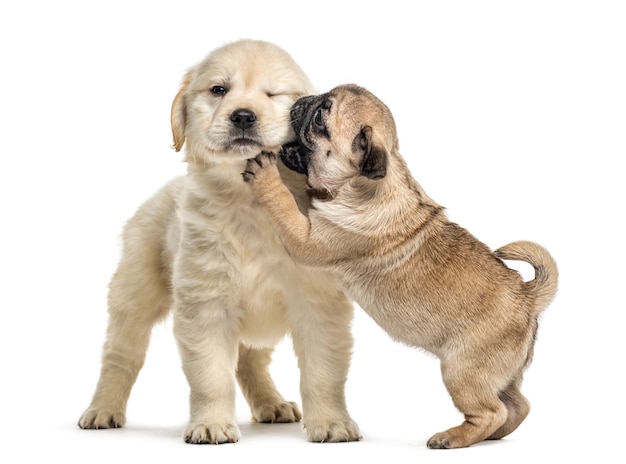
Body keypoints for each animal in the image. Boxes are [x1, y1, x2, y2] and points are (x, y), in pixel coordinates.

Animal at [78, 40, 360, 446]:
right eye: (218, 90)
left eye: (272, 94)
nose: (242, 116)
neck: (251, 204)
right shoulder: (205, 306)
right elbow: (211, 375)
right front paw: (211, 424)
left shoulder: (319, 304)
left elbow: (323, 372)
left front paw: (332, 422)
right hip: (134, 294)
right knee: (120, 356)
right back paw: (102, 409)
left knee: (249, 360)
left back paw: (272, 404)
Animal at [241, 84, 560, 450]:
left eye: (321, 116)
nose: (302, 100)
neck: (365, 184)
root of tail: (527, 296)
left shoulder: (307, 240)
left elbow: (283, 205)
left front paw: (267, 176)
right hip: (499, 374)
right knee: (517, 405)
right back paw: (493, 436)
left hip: (462, 371)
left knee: (491, 411)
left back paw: (454, 437)